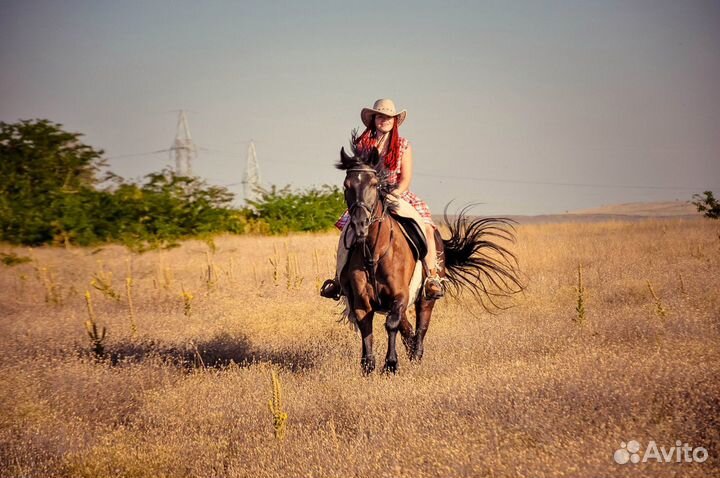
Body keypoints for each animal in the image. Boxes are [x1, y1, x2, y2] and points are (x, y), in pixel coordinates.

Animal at [338, 142, 524, 374]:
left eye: (373, 184)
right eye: (346, 185)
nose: (360, 224)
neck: (374, 251)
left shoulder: (400, 295)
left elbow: (391, 324)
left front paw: (391, 364)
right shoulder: (362, 300)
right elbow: (367, 328)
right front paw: (368, 366)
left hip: (425, 298)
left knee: (421, 323)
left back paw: (416, 354)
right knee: (406, 325)